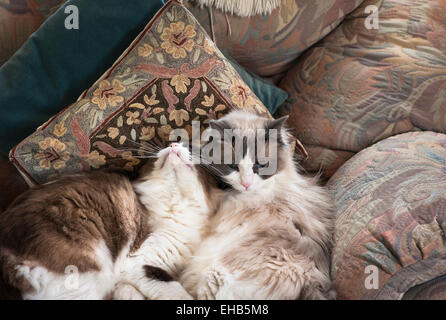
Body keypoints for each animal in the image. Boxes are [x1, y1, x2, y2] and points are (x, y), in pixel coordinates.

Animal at [0, 142, 221, 300]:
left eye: (188, 147)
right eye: (175, 142)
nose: (174, 144)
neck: (174, 200)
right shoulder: (139, 263)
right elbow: (174, 290)